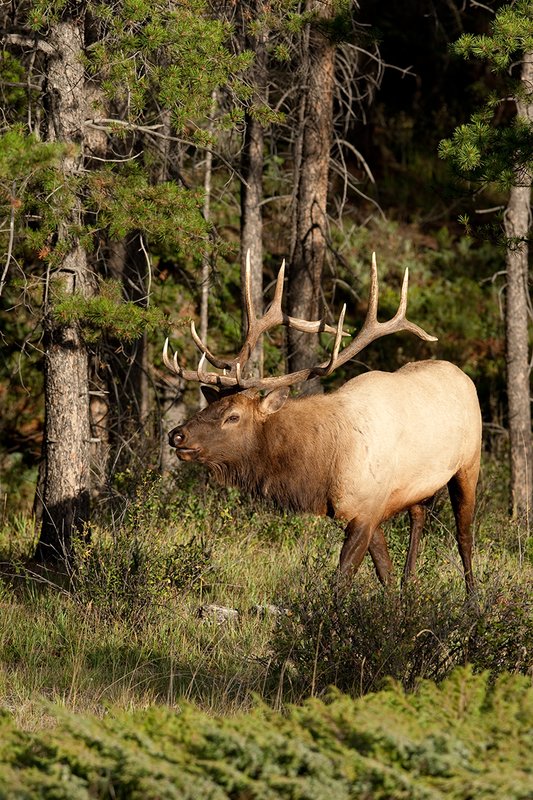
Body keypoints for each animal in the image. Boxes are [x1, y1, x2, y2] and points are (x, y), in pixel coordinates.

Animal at [163, 253, 482, 594]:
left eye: (233, 416)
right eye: (212, 404)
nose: (177, 435)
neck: (324, 468)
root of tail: (462, 375)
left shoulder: (365, 509)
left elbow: (341, 581)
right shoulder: (366, 511)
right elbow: (384, 573)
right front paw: (395, 600)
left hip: (469, 464)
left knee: (464, 535)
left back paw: (472, 597)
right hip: (418, 486)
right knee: (419, 517)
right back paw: (410, 584)